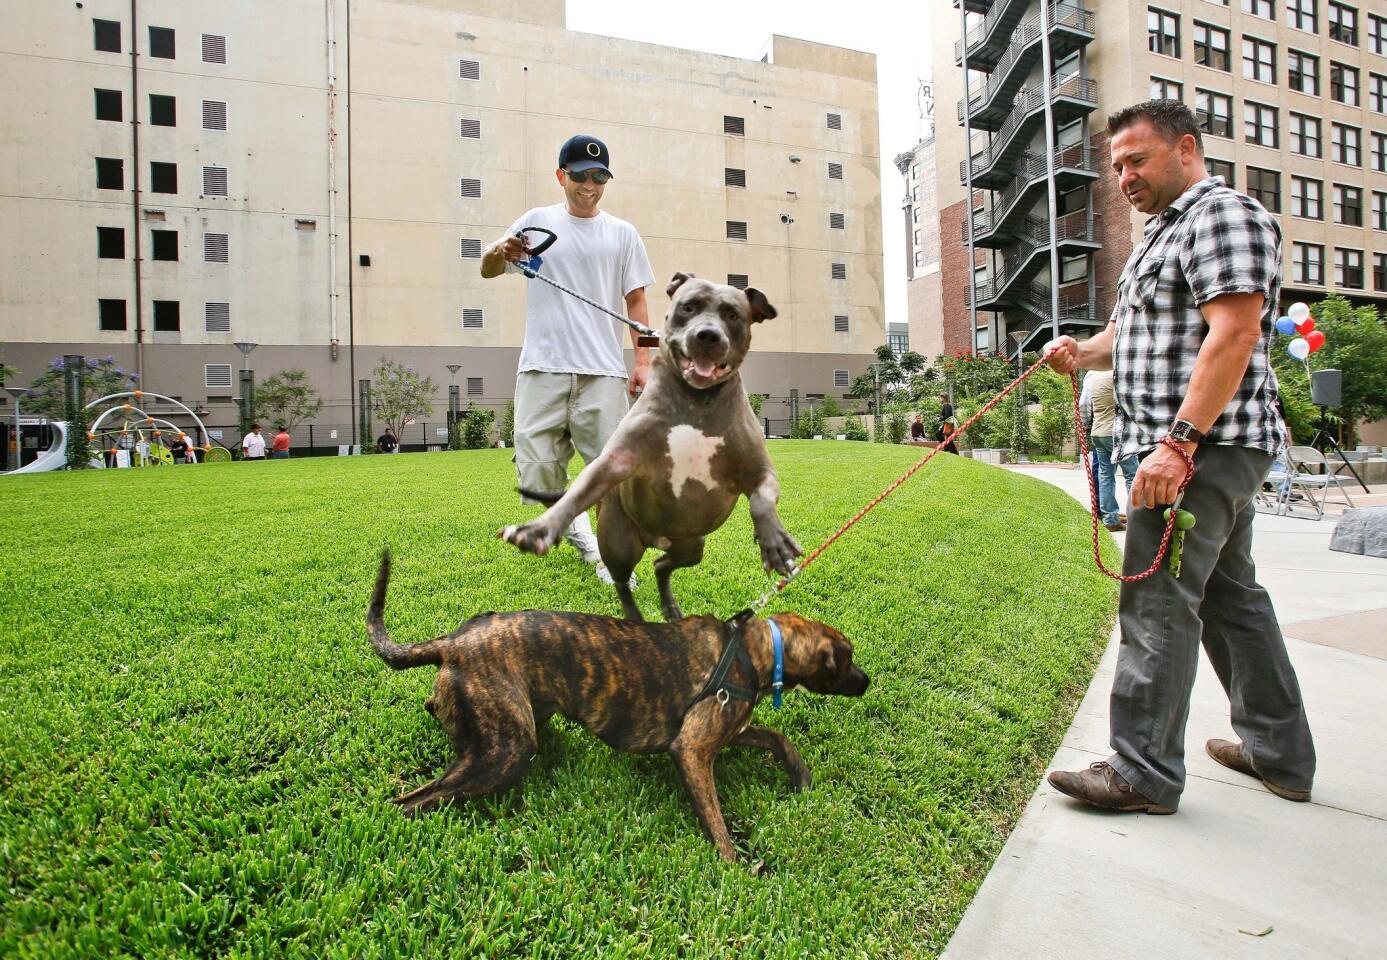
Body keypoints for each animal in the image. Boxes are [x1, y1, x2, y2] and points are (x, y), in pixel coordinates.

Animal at [368, 552, 865, 860]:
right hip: (505, 751)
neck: (754, 648)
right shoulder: (692, 749)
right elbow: (717, 820)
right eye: (847, 660)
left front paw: (799, 776)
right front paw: (734, 866)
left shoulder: (734, 729)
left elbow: (780, 739)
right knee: (413, 800)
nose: (867, 680)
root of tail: (453, 642)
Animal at [499, 271, 804, 621]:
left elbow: (762, 501)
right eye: (688, 307)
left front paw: (774, 541)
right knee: (622, 582)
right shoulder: (615, 461)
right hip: (619, 542)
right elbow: (575, 495)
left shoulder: (759, 472)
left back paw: (670, 607)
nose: (707, 335)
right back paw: (634, 617)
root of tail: (656, 539)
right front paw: (540, 529)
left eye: (732, 315)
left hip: (691, 546)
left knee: (661, 566)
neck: (696, 402)